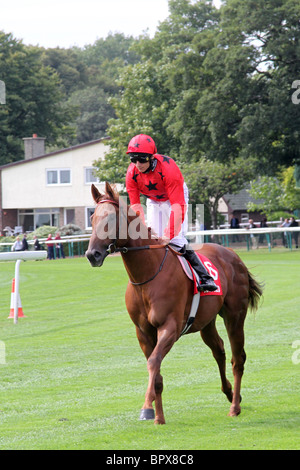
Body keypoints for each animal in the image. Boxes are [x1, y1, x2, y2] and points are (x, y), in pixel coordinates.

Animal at [86, 183, 262, 422]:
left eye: (112, 218)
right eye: (92, 217)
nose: (91, 254)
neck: (147, 276)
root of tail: (232, 254)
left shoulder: (170, 327)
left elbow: (153, 362)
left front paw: (146, 408)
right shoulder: (143, 332)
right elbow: (156, 371)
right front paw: (159, 417)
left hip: (234, 315)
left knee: (238, 358)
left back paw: (235, 406)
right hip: (206, 321)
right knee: (219, 350)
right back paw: (230, 393)